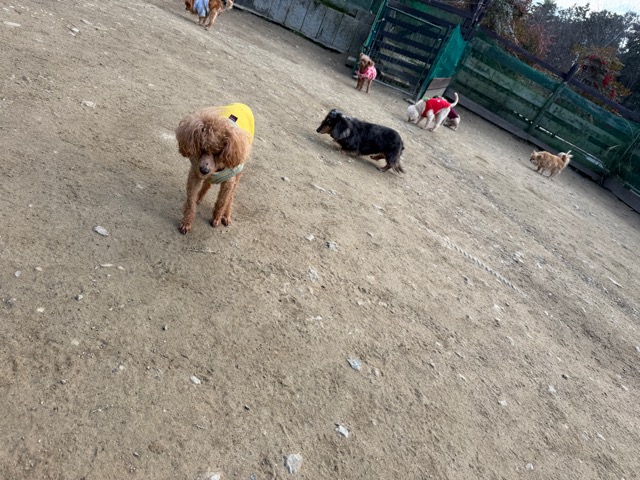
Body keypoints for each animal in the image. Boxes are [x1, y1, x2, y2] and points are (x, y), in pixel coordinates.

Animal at [175, 103, 253, 234]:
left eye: (218, 152)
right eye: (202, 148)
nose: (204, 170)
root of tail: (243, 105)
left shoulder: (229, 182)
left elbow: (222, 201)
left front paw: (216, 218)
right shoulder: (195, 175)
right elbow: (191, 201)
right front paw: (186, 222)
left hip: (238, 173)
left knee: (231, 196)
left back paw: (226, 214)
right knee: (207, 184)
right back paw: (200, 197)